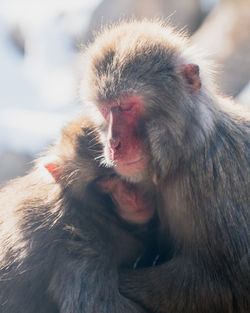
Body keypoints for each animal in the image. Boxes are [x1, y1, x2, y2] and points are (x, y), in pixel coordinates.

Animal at [80, 20, 250, 312]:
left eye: (126, 107)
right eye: (106, 110)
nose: (113, 144)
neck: (186, 153)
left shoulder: (215, 186)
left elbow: (224, 286)